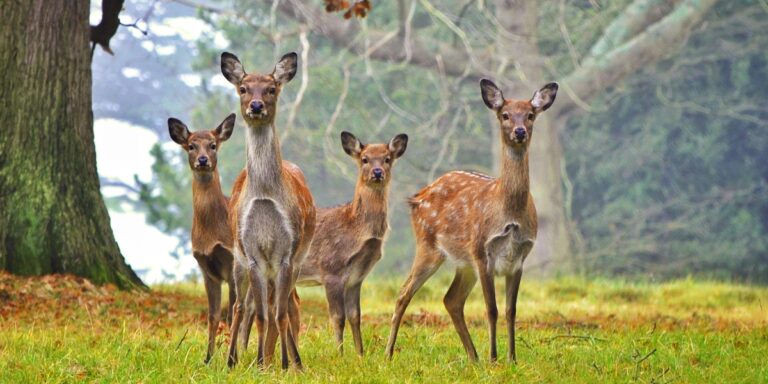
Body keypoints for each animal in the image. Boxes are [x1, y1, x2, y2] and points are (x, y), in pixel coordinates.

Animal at [168, 112, 237, 364]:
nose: (203, 159)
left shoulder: (233, 262)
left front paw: (231, 359)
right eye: (191, 145)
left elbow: (232, 313)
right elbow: (213, 315)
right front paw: (208, 359)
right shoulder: (206, 269)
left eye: (213, 144)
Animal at [220, 49, 316, 370]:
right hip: (237, 257)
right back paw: (231, 359)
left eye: (272, 88)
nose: (256, 105)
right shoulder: (251, 253)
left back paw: (294, 359)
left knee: (288, 304)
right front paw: (261, 362)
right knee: (241, 305)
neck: (264, 195)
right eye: (243, 88)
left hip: (297, 259)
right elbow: (261, 314)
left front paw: (286, 364)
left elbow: (279, 313)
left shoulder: (287, 251)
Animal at [294, 130, 412, 356]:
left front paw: (360, 354)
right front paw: (339, 354)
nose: (377, 172)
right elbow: (337, 318)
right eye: (364, 159)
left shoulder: (356, 278)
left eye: (387, 158)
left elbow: (355, 316)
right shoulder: (331, 269)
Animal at [384, 79, 560, 364]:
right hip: (428, 245)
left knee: (451, 299)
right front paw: (494, 358)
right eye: (505, 115)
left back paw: (472, 356)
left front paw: (511, 358)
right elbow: (492, 309)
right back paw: (388, 353)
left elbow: (511, 310)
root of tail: (417, 197)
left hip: (463, 263)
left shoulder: (519, 257)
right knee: (404, 292)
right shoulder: (482, 251)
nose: (520, 131)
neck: (509, 214)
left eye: (531, 115)